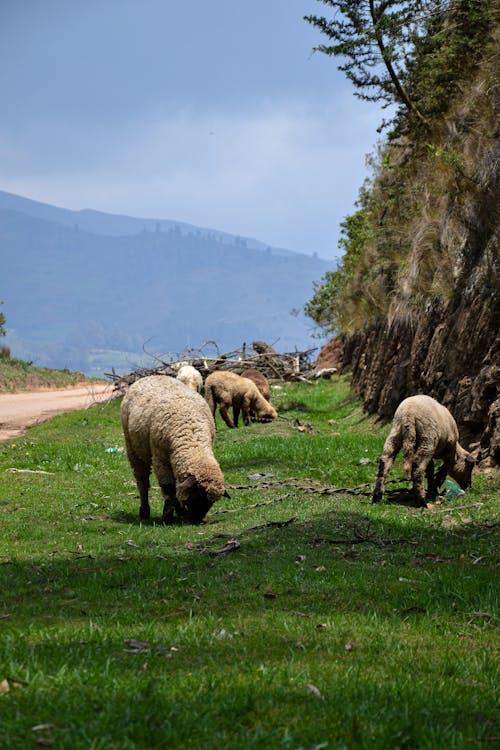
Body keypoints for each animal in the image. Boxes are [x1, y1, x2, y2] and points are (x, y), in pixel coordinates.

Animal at [121, 374, 227, 524]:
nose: (196, 520)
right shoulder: (160, 459)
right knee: (142, 481)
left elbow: (177, 488)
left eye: (211, 503)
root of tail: (149, 376)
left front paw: (179, 511)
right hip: (134, 450)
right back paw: (144, 511)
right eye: (198, 495)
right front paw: (168, 516)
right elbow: (169, 489)